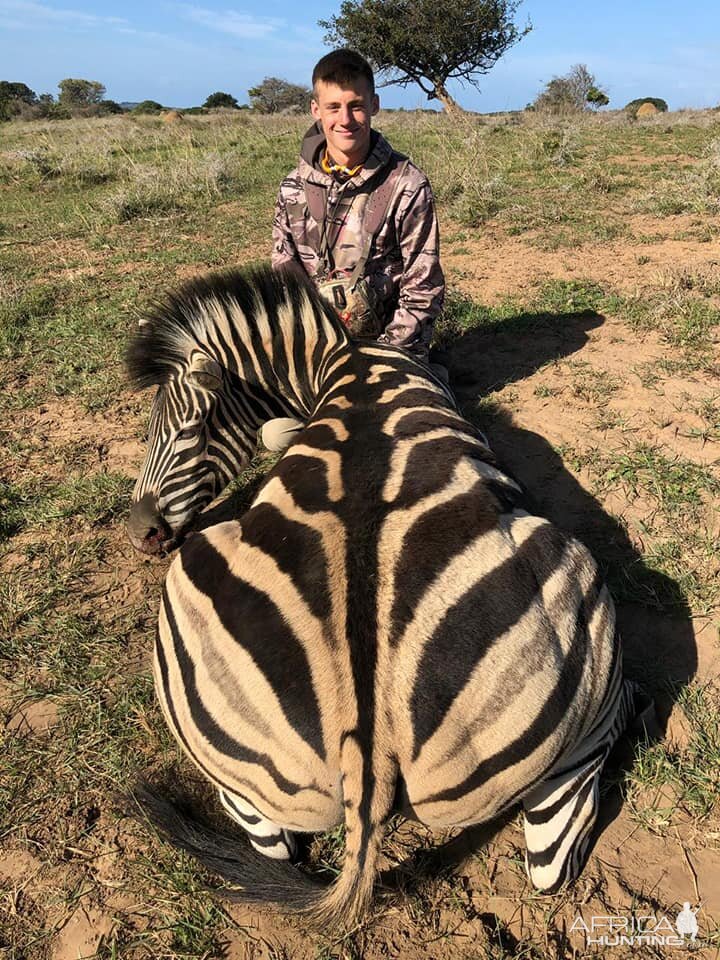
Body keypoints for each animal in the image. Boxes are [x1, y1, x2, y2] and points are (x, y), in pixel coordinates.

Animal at [126, 264, 632, 928]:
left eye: (187, 430)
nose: (140, 531)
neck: (349, 357)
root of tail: (363, 748)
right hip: (579, 632)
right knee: (555, 867)